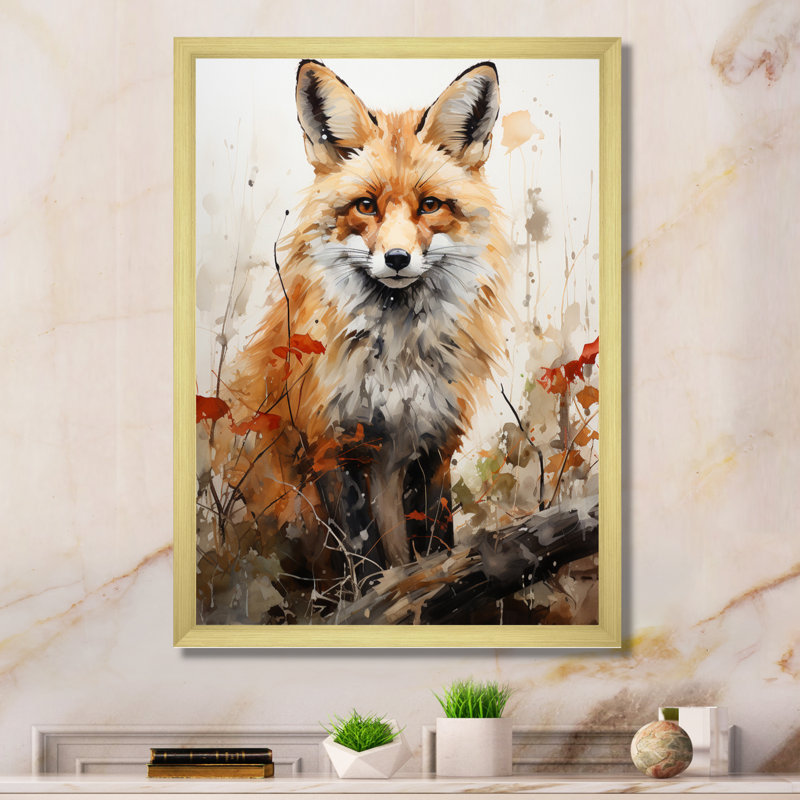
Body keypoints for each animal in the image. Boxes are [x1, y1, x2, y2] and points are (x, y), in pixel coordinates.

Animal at [227, 59, 510, 592]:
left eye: (430, 205)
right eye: (365, 205)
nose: (397, 259)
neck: (397, 362)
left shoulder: (434, 443)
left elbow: (435, 543)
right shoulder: (332, 444)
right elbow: (363, 559)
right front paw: (371, 599)